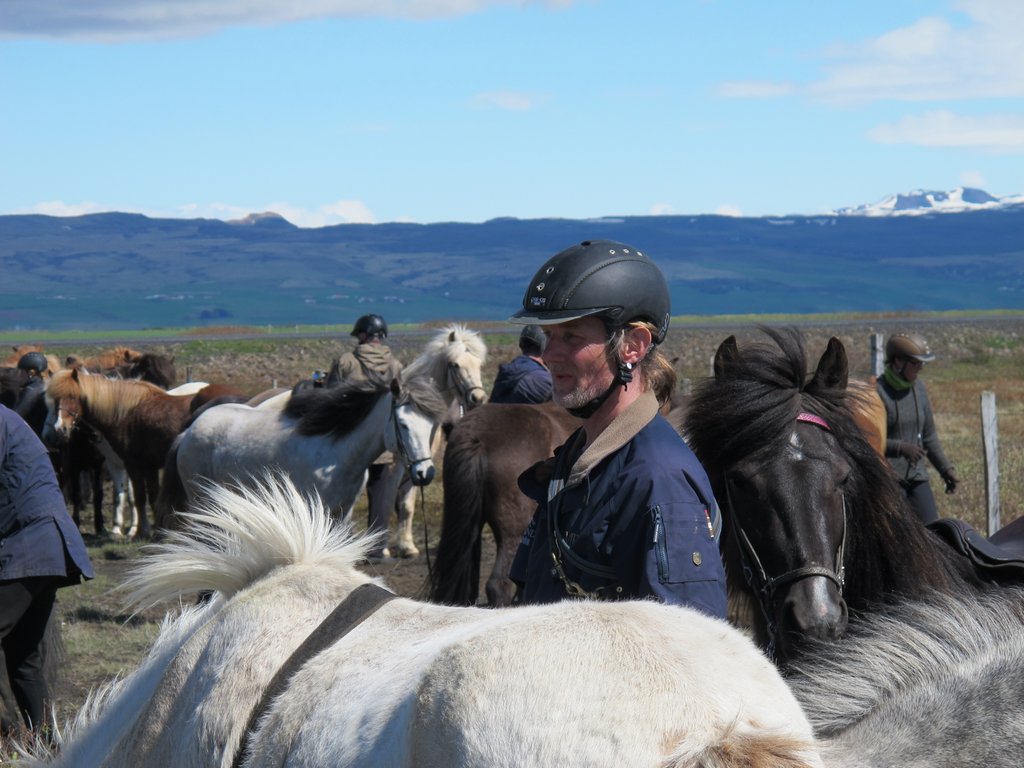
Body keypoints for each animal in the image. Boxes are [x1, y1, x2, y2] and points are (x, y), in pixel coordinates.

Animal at [158, 377, 448, 529]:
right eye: (403, 424)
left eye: (432, 425)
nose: (425, 473)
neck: (337, 452)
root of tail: (189, 431)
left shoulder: (343, 515)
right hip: (203, 501)